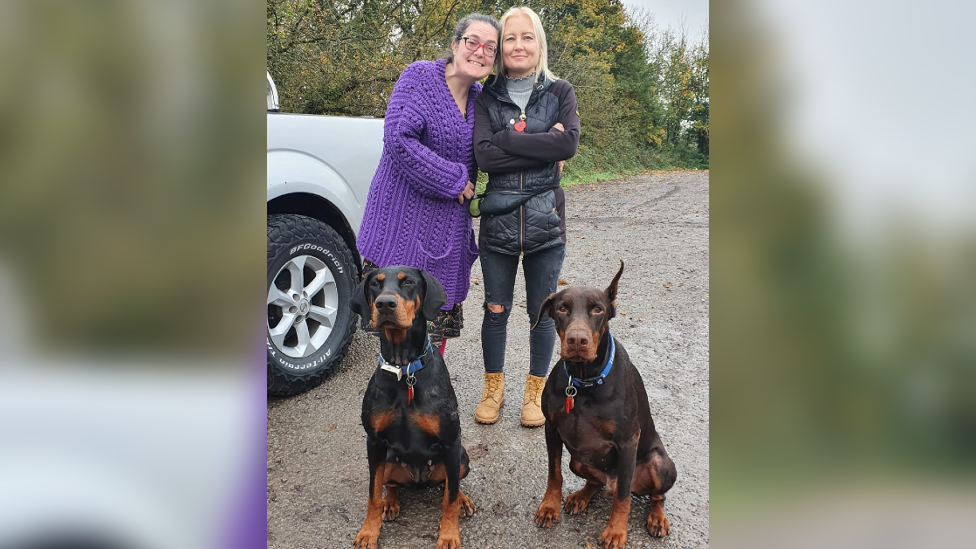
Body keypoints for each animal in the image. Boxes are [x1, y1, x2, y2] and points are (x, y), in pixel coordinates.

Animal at [348, 266, 474, 548]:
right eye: (375, 284)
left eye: (409, 283)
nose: (385, 304)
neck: (404, 370)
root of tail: (418, 482)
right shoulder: (374, 442)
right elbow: (372, 494)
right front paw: (368, 532)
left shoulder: (451, 442)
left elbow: (449, 499)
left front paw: (449, 535)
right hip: (387, 461)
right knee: (391, 485)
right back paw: (391, 502)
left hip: (462, 457)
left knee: (451, 485)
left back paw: (463, 500)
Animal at [528, 262, 676, 548]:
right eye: (562, 308)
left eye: (597, 309)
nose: (577, 340)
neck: (583, 381)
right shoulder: (552, 428)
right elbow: (554, 473)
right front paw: (549, 507)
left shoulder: (629, 440)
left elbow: (623, 497)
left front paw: (616, 532)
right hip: (578, 460)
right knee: (595, 483)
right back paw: (581, 496)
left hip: (660, 464)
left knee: (652, 495)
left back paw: (657, 517)